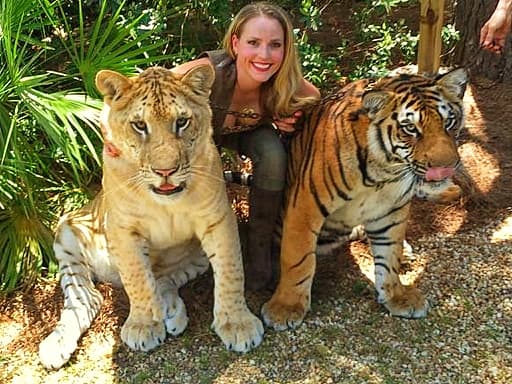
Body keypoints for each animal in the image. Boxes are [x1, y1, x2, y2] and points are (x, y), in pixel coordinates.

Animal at [39, 65, 264, 368]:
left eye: (182, 122)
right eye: (139, 126)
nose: (165, 171)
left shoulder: (218, 219)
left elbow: (231, 273)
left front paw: (237, 324)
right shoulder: (122, 229)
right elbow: (137, 279)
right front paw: (144, 326)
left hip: (196, 257)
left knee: (164, 279)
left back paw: (172, 311)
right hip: (67, 231)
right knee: (88, 298)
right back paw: (57, 345)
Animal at [264, 67, 468, 330]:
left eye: (448, 122)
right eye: (410, 129)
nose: (445, 168)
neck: (385, 170)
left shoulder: (391, 209)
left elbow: (389, 253)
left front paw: (396, 296)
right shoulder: (305, 205)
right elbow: (298, 259)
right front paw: (285, 308)